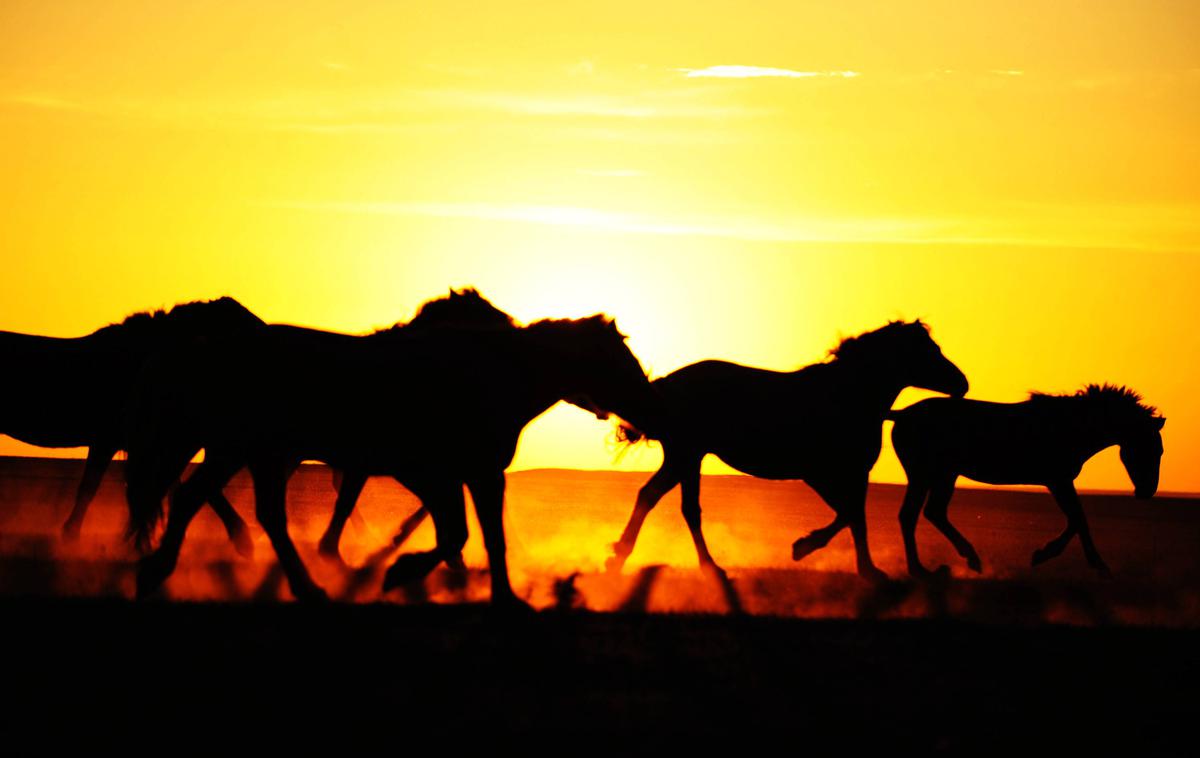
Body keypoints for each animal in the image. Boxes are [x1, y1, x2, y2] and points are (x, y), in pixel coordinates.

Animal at [125, 292, 662, 606]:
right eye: (621, 358)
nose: (650, 410)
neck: (490, 374)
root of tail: (204, 349)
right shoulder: (436, 471)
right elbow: (456, 534)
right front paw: (402, 572)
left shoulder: (474, 473)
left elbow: (486, 536)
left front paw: (503, 597)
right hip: (248, 451)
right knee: (232, 507)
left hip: (240, 451)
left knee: (206, 501)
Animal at [609, 319, 964, 580]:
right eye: (929, 350)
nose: (962, 383)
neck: (848, 395)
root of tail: (665, 386)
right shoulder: (821, 472)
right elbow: (850, 514)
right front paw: (807, 548)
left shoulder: (853, 473)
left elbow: (854, 516)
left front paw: (864, 568)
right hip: (685, 454)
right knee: (666, 501)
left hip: (687, 457)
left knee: (669, 502)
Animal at [892, 383, 1161, 573]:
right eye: (1150, 449)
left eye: (1159, 451)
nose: (1147, 491)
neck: (1071, 426)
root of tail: (901, 415)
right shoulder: (1059, 480)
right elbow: (1078, 519)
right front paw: (1088, 563)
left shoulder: (1060, 482)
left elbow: (1076, 519)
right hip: (927, 475)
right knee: (913, 514)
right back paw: (925, 568)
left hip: (943, 475)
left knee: (931, 512)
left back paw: (967, 559)